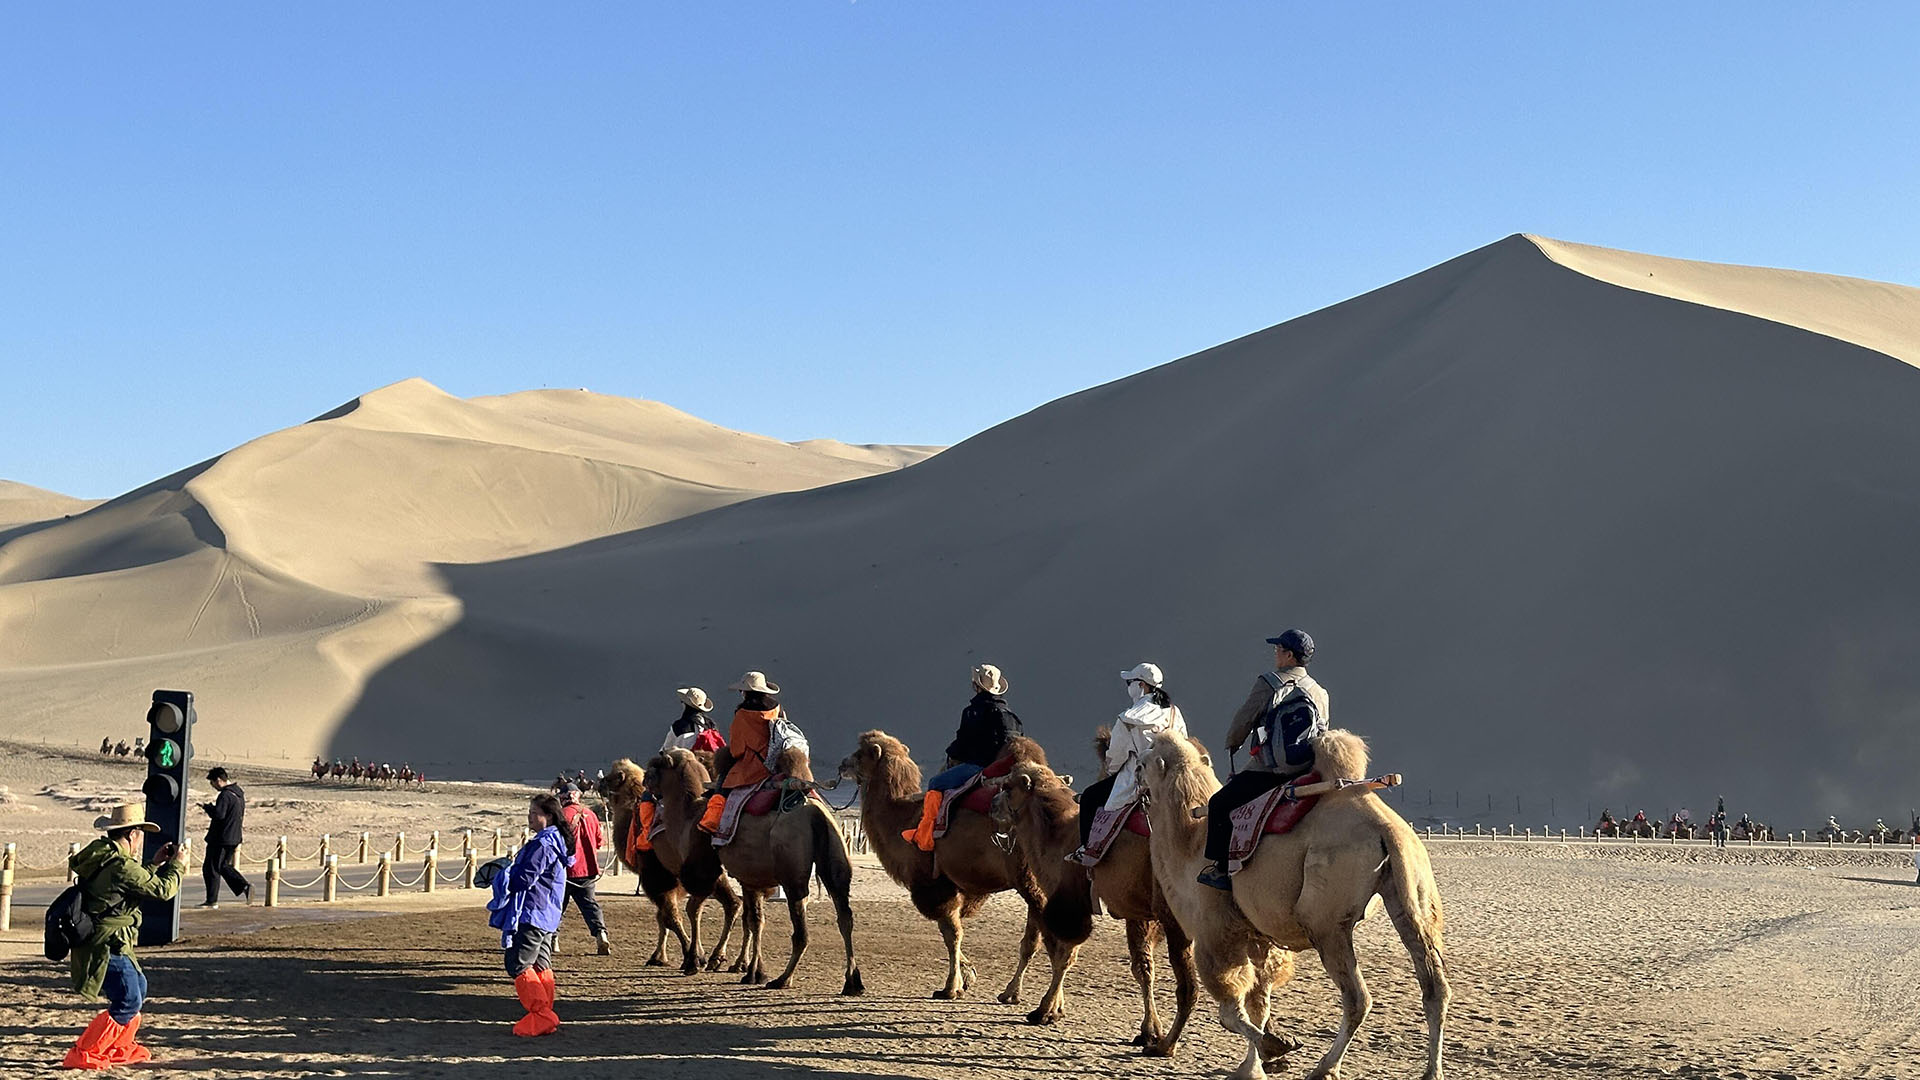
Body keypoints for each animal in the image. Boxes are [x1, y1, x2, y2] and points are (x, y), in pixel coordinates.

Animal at [599, 753, 741, 972]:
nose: (599, 784)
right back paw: (723, 959)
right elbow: (663, 917)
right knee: (733, 903)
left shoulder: (656, 875)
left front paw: (690, 956)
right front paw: (664, 956)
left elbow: (670, 916)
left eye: (611, 777)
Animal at [660, 745, 871, 991]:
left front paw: (699, 961)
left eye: (655, 767)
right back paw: (853, 982)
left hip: (792, 877)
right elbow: (754, 921)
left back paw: (783, 979)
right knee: (844, 916)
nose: (646, 783)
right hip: (835, 859)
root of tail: (816, 815)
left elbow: (701, 909)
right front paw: (749, 969)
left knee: (801, 933)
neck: (690, 814)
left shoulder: (708, 866)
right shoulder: (752, 878)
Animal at [837, 726, 1059, 1006]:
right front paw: (967, 976)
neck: (902, 818)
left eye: (860, 753)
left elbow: (952, 934)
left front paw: (951, 987)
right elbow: (952, 930)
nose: (842, 764)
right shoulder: (957, 885)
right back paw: (1013, 993)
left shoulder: (934, 884)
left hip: (1029, 880)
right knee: (1034, 938)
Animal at [990, 749, 1198, 1053]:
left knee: (1191, 984)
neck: (1057, 838)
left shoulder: (1072, 903)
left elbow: (1064, 955)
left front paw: (1044, 1011)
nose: (992, 805)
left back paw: (1167, 1046)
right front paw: (1149, 1030)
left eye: (1008, 786)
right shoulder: (1138, 914)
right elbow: (1143, 968)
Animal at [1136, 730, 1443, 1076]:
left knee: (1357, 998)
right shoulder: (1258, 936)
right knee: (1433, 986)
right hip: (1413, 895)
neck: (1189, 842)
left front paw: (1271, 1049)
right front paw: (1254, 1065)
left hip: (1326, 922)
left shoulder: (1215, 931)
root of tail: (1387, 829)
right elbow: (1259, 1001)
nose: (1134, 771)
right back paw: (1432, 1071)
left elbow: (1231, 1011)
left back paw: (1325, 1069)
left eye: (1145, 760)